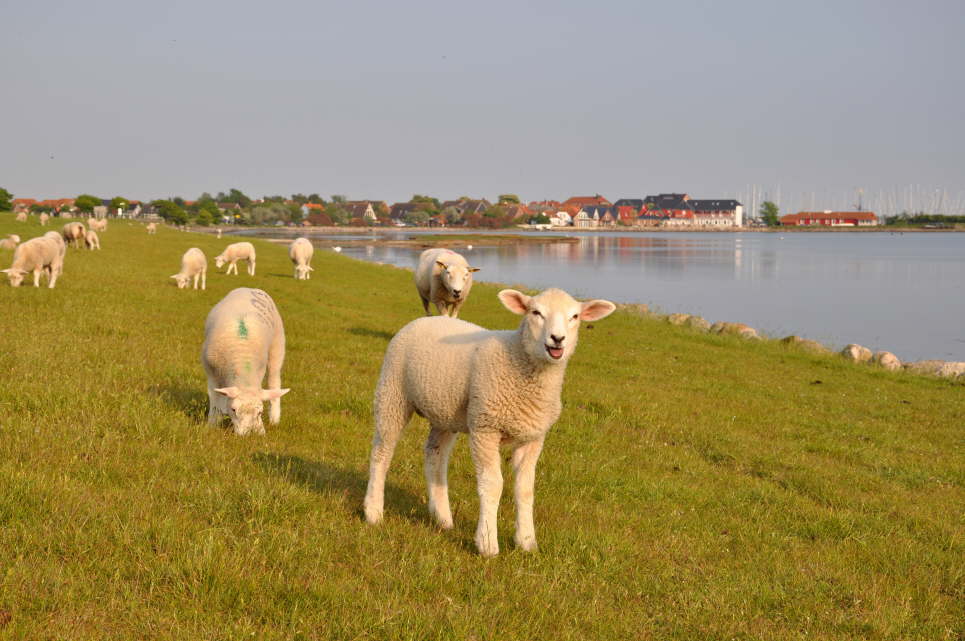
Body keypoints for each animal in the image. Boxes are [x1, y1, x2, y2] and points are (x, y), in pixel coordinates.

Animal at [202, 288, 290, 436]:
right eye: (234, 410)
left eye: (260, 413)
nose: (246, 435)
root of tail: (251, 289)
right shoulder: (211, 372)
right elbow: (215, 399)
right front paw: (212, 424)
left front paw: (260, 429)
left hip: (277, 345)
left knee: (274, 380)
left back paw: (274, 419)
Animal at [362, 286, 616, 556]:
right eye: (535, 312)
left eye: (575, 316)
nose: (557, 339)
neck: (519, 359)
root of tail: (425, 319)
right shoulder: (486, 428)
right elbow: (493, 484)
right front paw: (487, 543)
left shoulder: (533, 437)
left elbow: (525, 489)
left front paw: (527, 541)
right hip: (393, 392)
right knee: (382, 452)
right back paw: (373, 511)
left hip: (445, 412)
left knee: (434, 456)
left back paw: (442, 517)